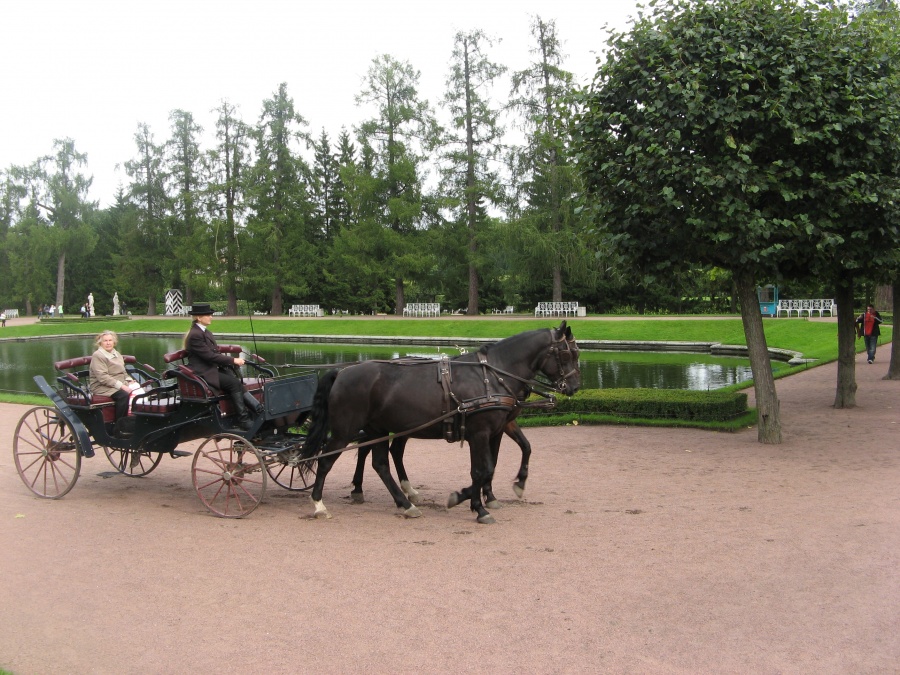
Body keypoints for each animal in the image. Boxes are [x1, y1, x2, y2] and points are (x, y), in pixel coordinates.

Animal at [298, 320, 580, 524]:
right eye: (568, 355)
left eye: (576, 353)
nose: (575, 387)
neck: (493, 375)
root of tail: (342, 371)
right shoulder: (480, 432)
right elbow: (483, 469)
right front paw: (471, 502)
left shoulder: (496, 429)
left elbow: (502, 459)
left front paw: (490, 496)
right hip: (345, 431)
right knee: (326, 460)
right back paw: (319, 504)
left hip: (378, 428)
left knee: (380, 462)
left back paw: (405, 502)